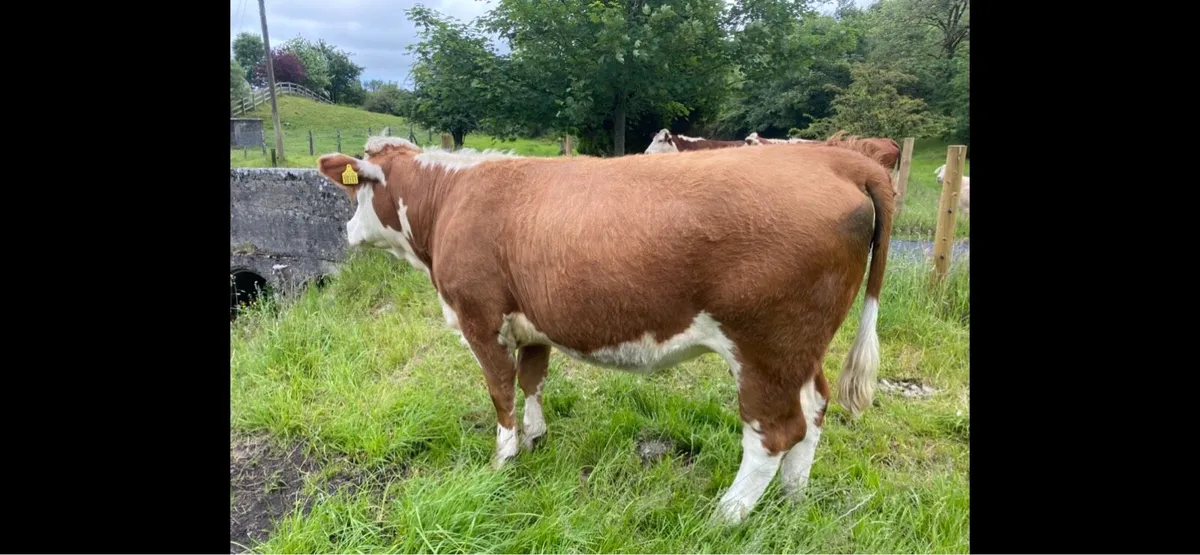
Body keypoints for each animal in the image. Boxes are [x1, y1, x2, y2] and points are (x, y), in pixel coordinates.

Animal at [315, 136, 895, 525]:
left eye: (356, 194)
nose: (344, 231)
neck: (451, 197)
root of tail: (839, 159)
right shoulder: (533, 324)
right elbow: (532, 381)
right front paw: (536, 438)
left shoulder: (481, 320)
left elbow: (501, 392)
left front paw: (502, 461)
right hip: (801, 349)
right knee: (815, 409)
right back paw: (793, 497)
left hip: (764, 348)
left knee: (773, 433)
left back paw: (725, 517)